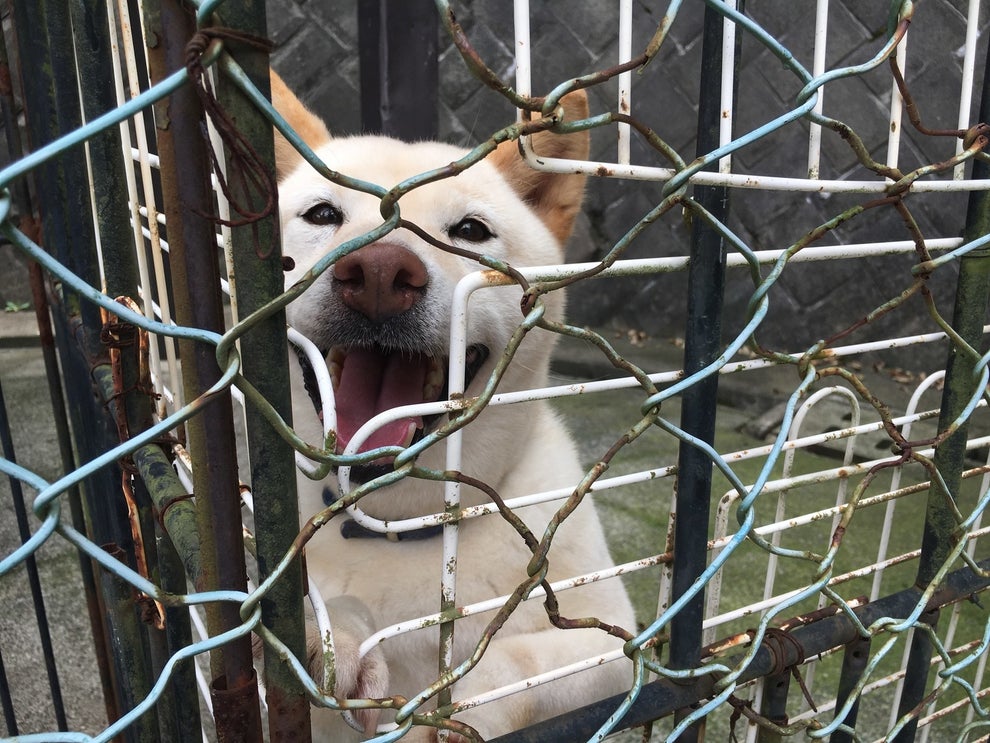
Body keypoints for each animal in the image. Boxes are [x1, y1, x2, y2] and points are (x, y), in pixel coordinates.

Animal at [270, 71, 636, 743]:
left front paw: (451, 714)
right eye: (323, 214)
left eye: (470, 231)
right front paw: (327, 635)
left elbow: (517, 670)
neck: (405, 526)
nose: (380, 271)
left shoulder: (616, 646)